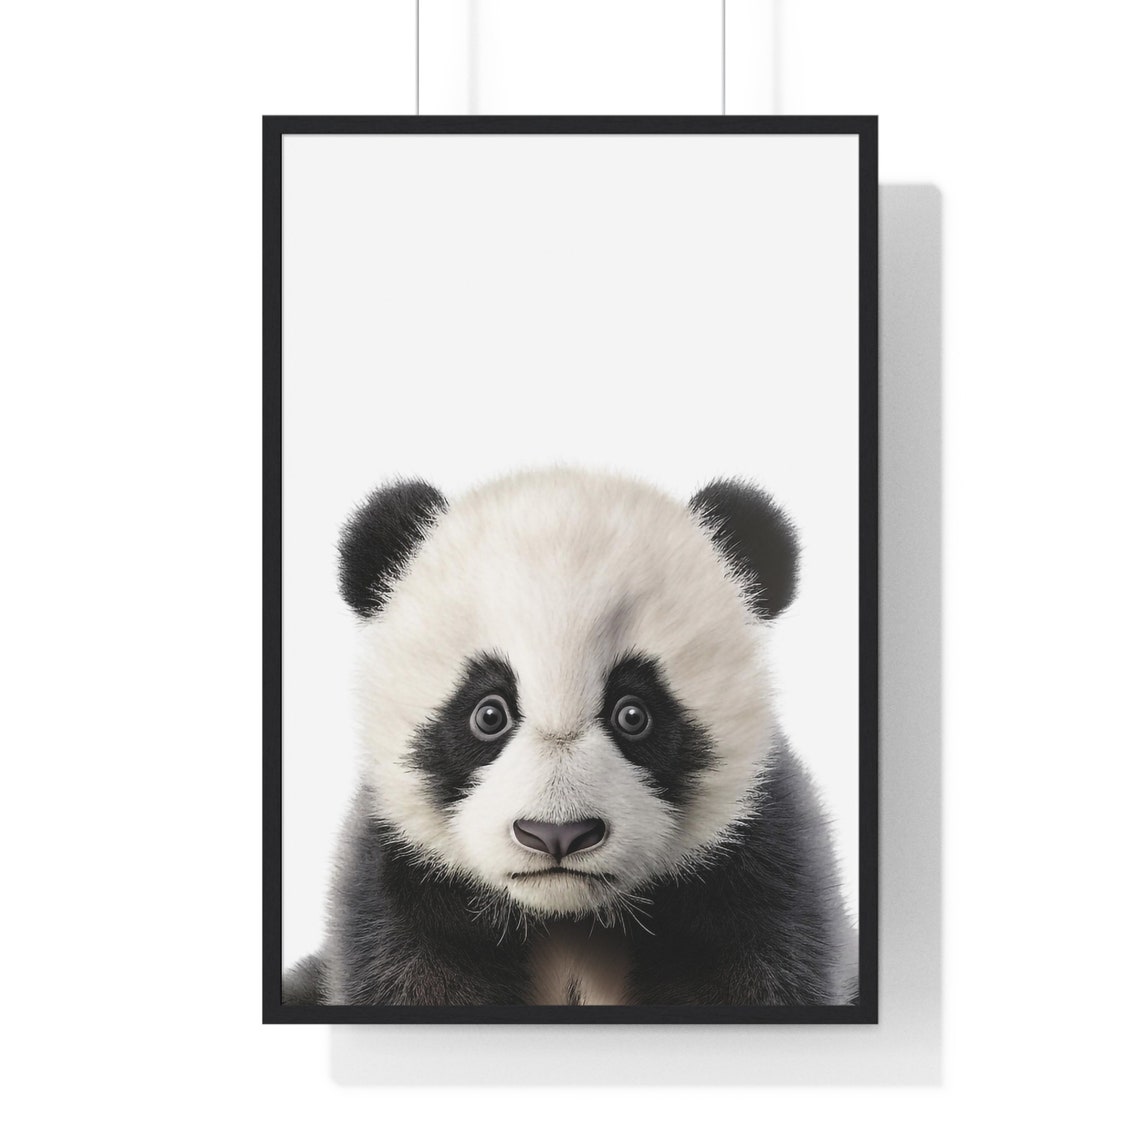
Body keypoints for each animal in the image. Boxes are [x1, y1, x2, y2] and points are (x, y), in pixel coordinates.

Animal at [284, 468, 856, 1006]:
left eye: (633, 714)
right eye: (488, 714)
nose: (556, 835)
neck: (567, 914)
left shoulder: (760, 862)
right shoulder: (399, 874)